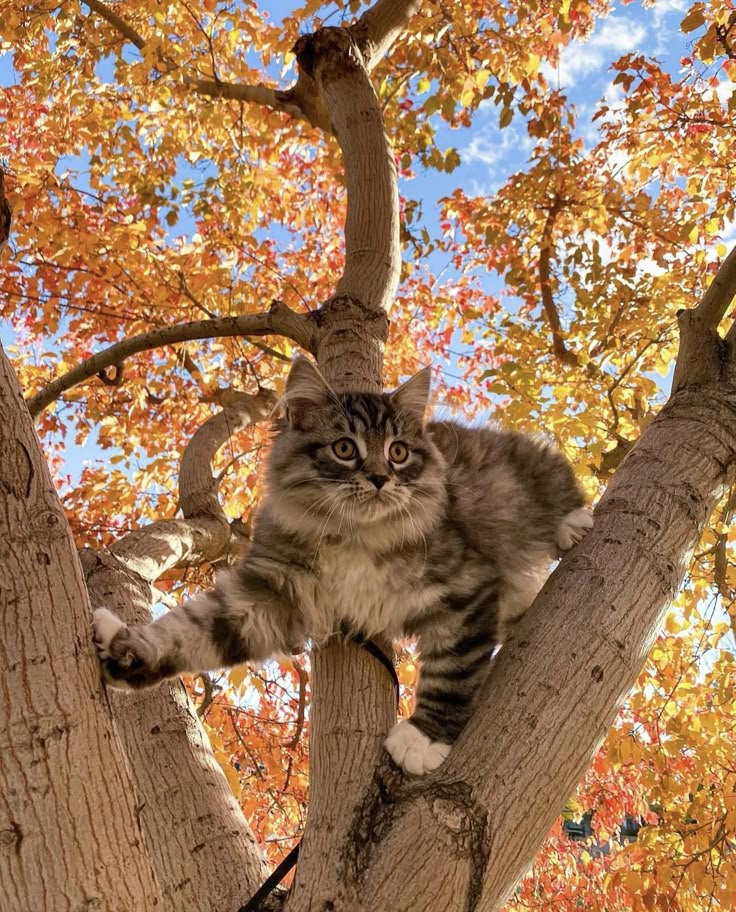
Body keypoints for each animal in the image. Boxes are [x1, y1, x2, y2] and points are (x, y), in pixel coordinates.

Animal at [95, 356, 596, 776]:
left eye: (398, 452)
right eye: (344, 449)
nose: (379, 478)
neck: (355, 537)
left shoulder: (465, 590)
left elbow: (450, 672)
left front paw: (423, 739)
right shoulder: (269, 594)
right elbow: (188, 631)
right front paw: (125, 648)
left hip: (528, 480)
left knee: (561, 487)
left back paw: (572, 524)